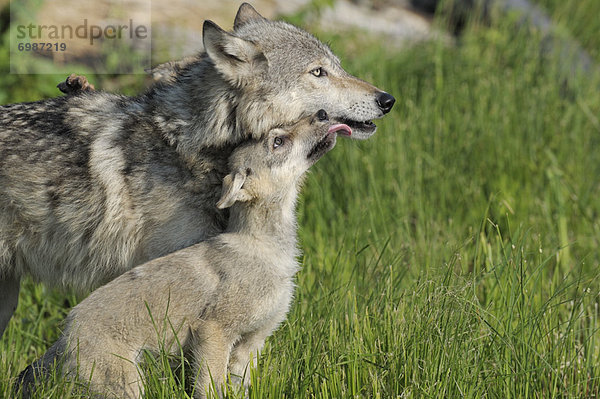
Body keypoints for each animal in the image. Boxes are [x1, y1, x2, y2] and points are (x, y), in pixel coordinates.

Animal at [17, 110, 346, 399]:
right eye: (278, 141)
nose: (322, 113)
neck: (264, 247)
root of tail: (63, 338)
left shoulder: (251, 343)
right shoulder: (213, 332)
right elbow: (209, 388)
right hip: (128, 386)